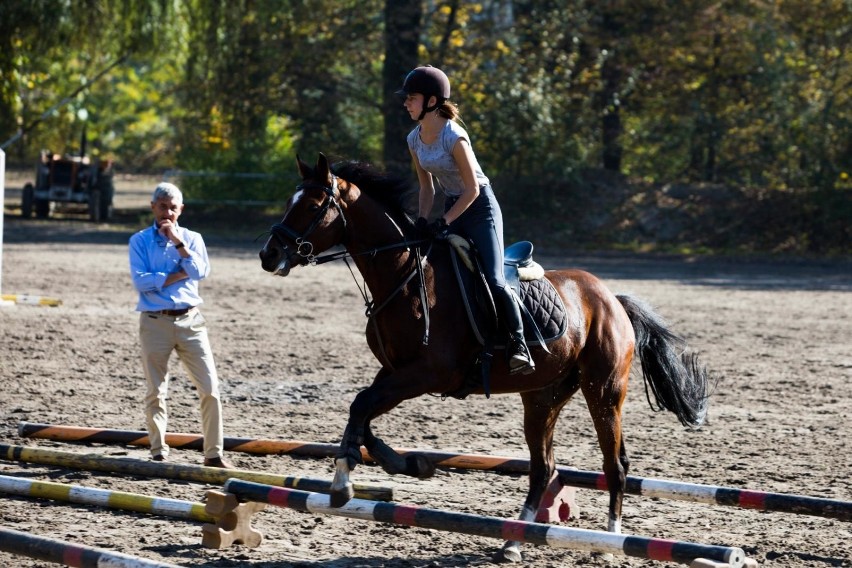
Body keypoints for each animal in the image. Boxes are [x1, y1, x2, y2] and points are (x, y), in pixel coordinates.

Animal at [256, 152, 708, 564]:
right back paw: (513, 543)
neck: (403, 275)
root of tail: (611, 298)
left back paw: (610, 541)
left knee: (614, 464)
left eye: (313, 205)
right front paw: (411, 464)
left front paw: (343, 484)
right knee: (543, 468)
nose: (268, 255)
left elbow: (361, 406)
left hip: (604, 391)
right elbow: (361, 413)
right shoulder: (394, 371)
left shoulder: (427, 373)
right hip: (543, 397)